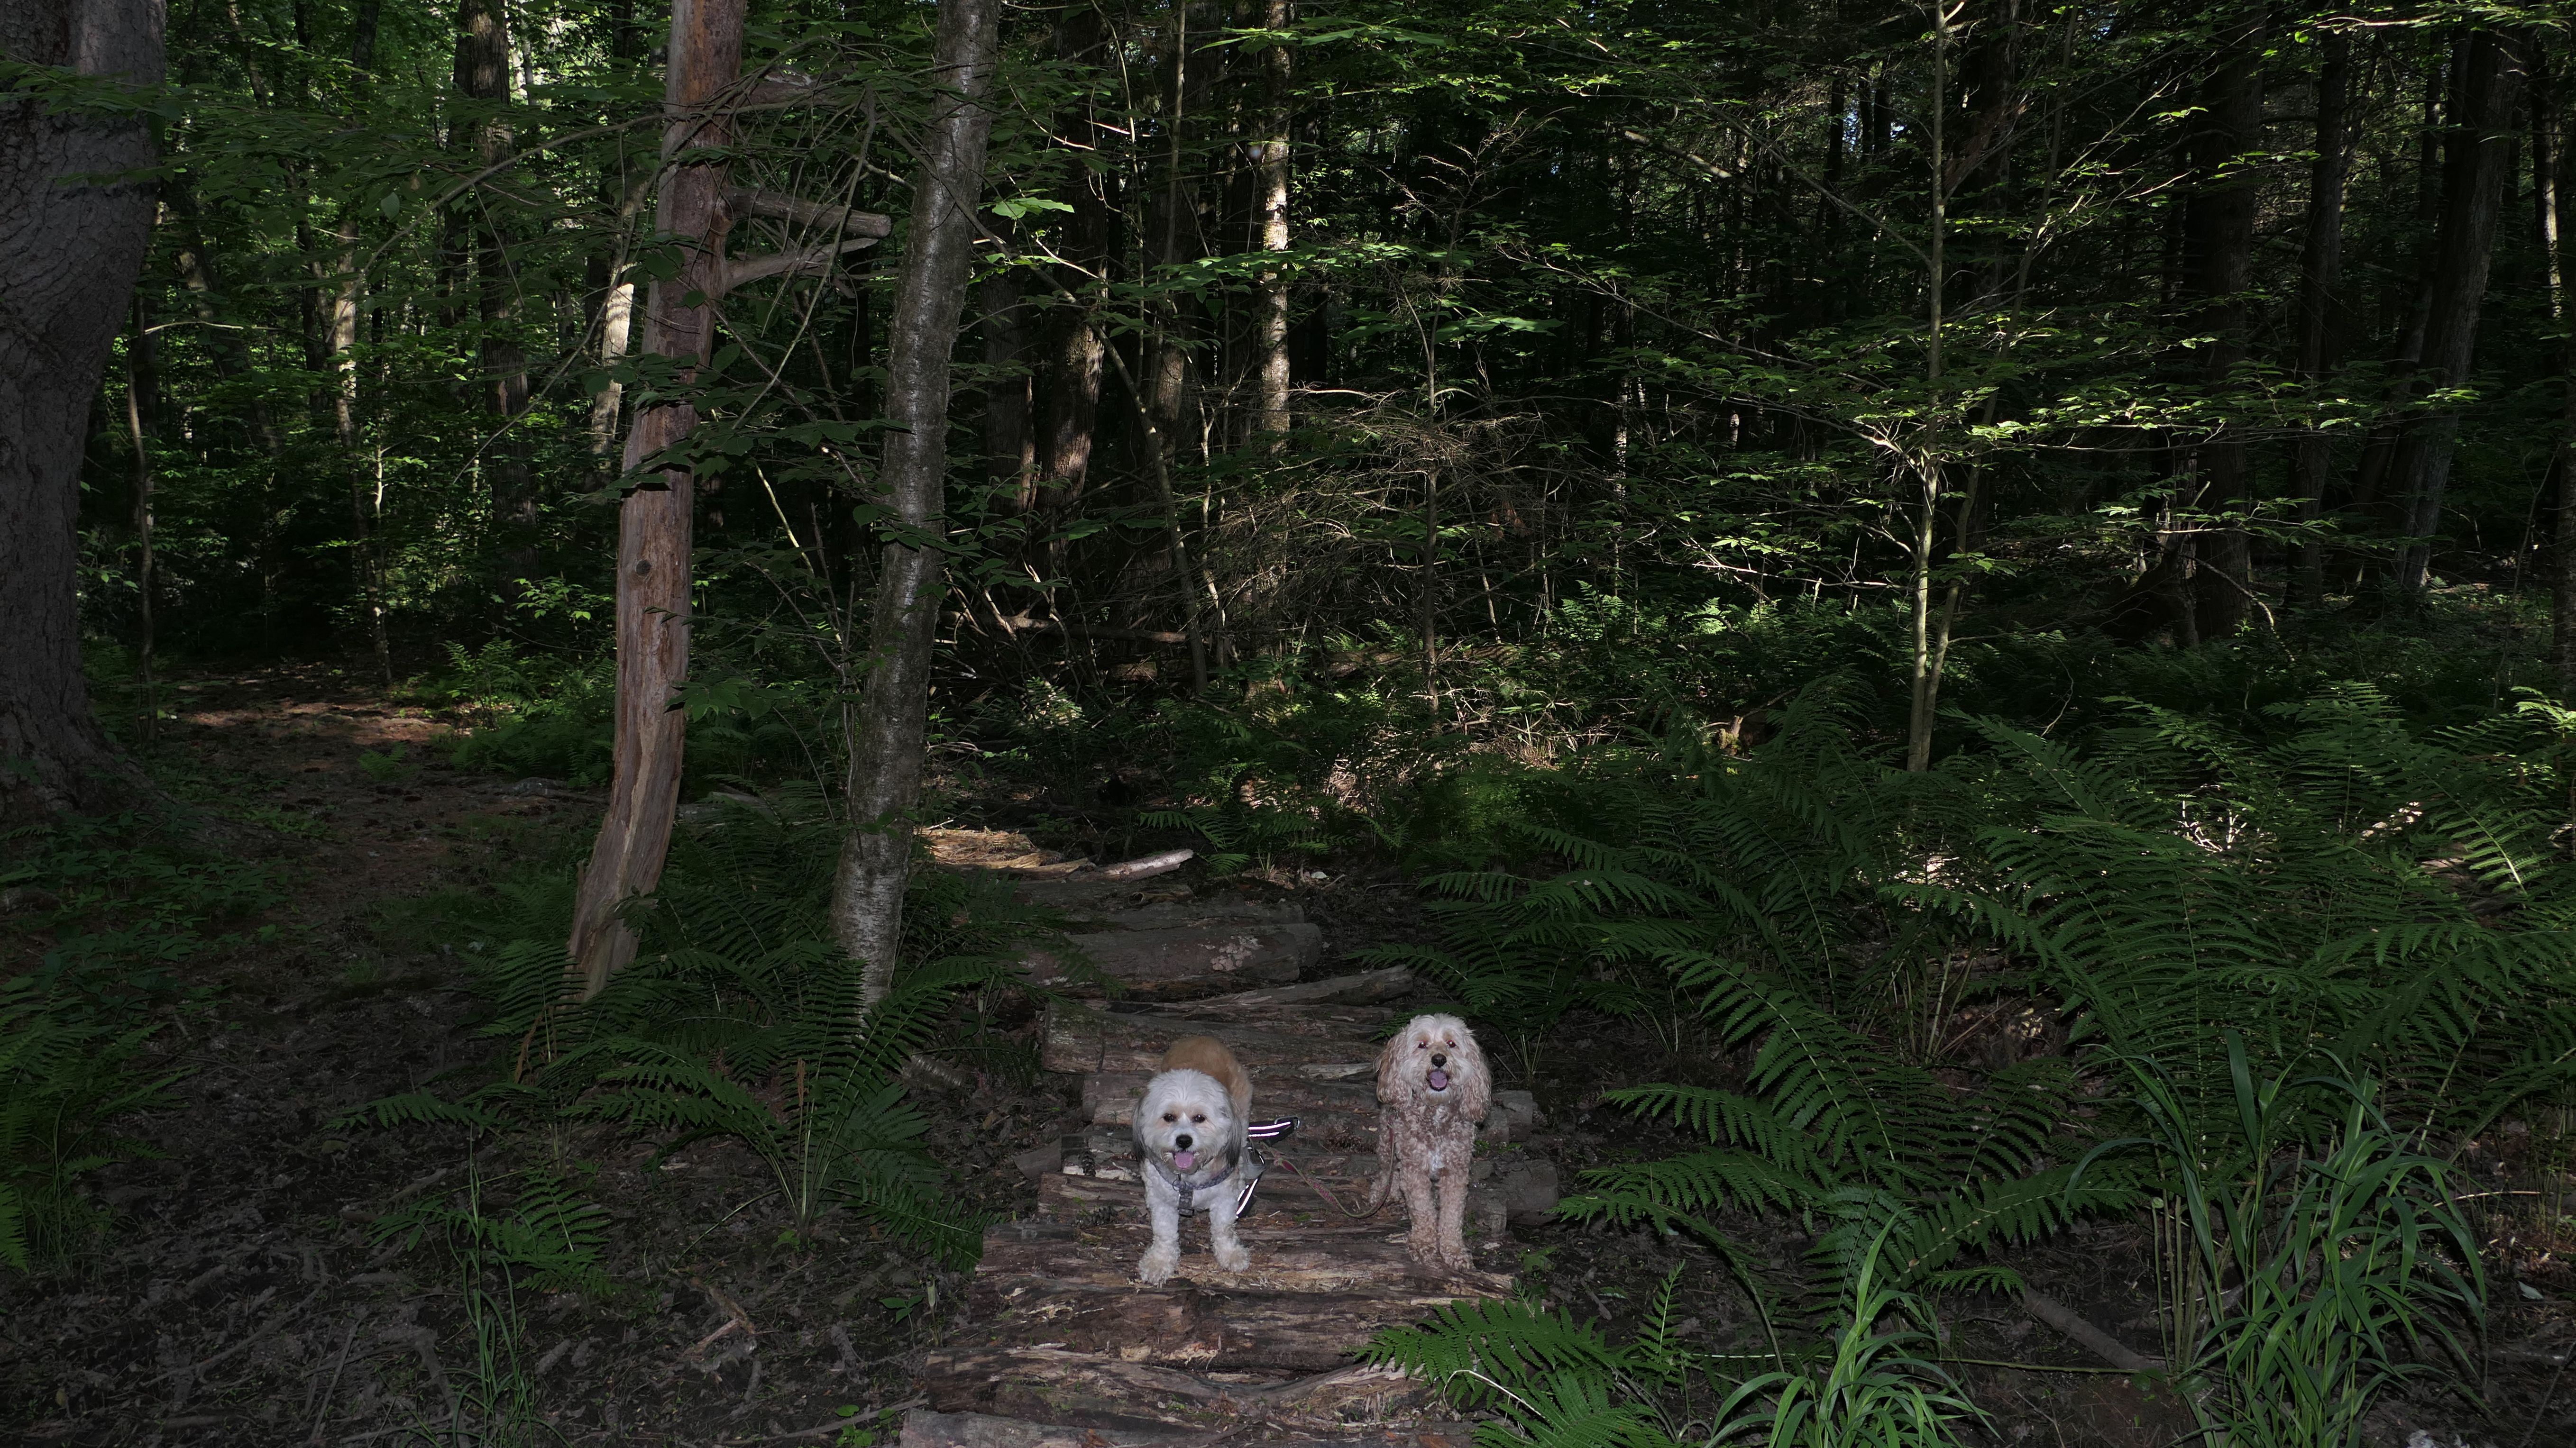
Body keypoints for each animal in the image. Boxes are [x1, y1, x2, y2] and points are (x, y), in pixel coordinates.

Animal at [1133, 1035, 1255, 1287]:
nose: (1184, 1140)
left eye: (1200, 1118)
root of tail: (1202, 1038)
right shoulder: (1161, 1200)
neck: (1190, 1179)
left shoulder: (1225, 1198)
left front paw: (1230, 1254)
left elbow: (1223, 1229)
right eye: (1168, 1117)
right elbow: (1165, 1235)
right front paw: (1159, 1262)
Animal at [1369, 1013, 1492, 1274]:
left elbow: (1452, 1215)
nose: (1439, 1059)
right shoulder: (1415, 1170)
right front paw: (1424, 1245)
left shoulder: (1456, 1173)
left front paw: (1453, 1250)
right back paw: (1383, 1193)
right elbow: (1422, 1210)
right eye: (1422, 1045)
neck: (1435, 1115)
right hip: (1387, 1140)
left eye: (1451, 1044)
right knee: (1386, 1171)